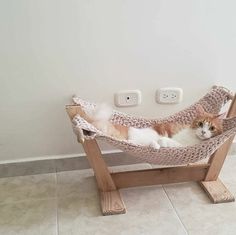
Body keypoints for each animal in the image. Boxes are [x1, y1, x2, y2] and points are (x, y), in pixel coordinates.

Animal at [84, 104, 223, 149]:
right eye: (200, 124)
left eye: (212, 128)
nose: (203, 132)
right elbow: (168, 140)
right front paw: (162, 142)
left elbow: (170, 142)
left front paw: (162, 143)